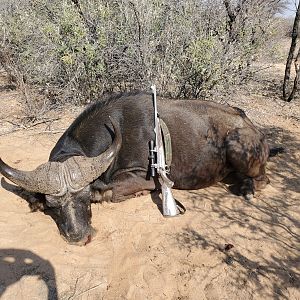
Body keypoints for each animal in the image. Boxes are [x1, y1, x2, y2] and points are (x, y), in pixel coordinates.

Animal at [0, 92, 274, 245]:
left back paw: (248, 189)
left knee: (264, 179)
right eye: (53, 206)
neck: (114, 129)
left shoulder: (144, 179)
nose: (80, 237)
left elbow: (110, 192)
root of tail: (252, 127)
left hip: (238, 149)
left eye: (84, 198)